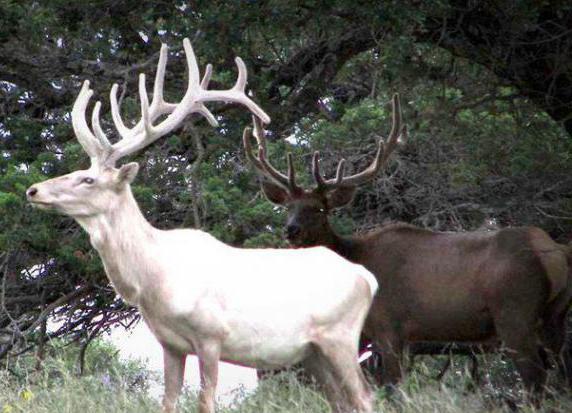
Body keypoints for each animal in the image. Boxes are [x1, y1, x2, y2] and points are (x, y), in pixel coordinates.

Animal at [26, 38, 378, 412]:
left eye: (88, 179)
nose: (33, 190)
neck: (154, 282)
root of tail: (367, 278)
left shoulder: (211, 335)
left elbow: (205, 401)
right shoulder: (170, 344)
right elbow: (168, 402)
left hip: (341, 336)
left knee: (365, 396)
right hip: (313, 351)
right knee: (343, 401)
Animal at [245, 93, 572, 392]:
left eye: (319, 209)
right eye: (288, 206)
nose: (291, 230)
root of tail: (552, 253)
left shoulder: (388, 326)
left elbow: (393, 388)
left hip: (514, 310)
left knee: (536, 380)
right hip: (554, 316)